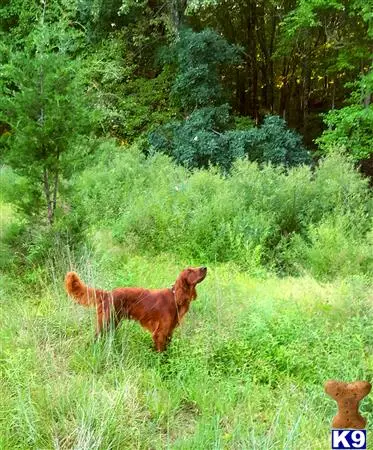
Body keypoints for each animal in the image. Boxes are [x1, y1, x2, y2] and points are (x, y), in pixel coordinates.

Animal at [64, 268, 206, 352]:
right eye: (190, 271)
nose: (204, 267)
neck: (175, 296)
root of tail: (108, 294)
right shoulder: (160, 333)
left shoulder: (169, 331)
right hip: (106, 322)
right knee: (95, 337)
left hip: (113, 322)